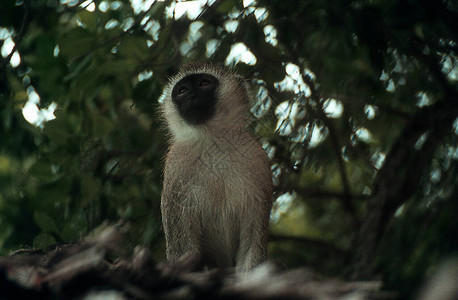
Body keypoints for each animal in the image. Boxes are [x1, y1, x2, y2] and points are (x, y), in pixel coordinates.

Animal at [159, 63, 272, 272]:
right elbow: (184, 250)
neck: (212, 142)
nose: (191, 96)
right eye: (182, 90)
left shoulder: (257, 160)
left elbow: (251, 248)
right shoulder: (175, 168)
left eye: (204, 83)